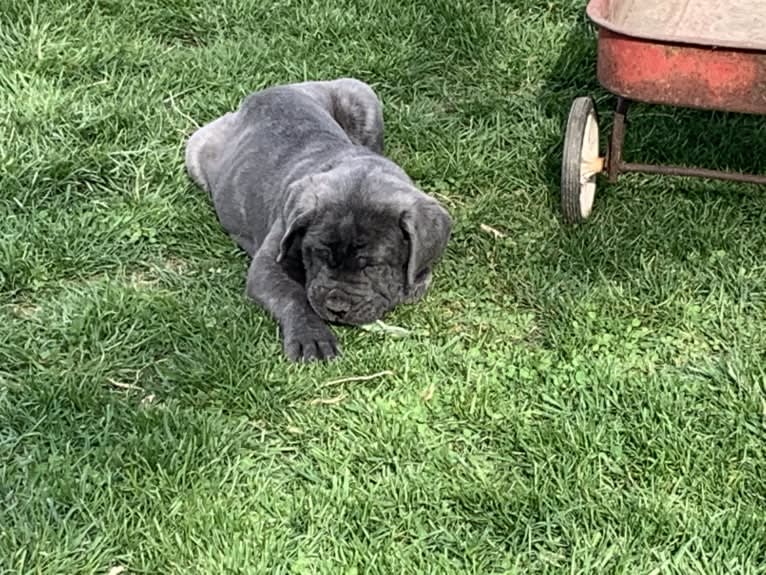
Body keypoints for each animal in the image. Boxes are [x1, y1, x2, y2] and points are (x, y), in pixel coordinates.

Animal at [185, 79, 452, 362]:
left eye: (372, 266)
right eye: (319, 254)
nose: (337, 307)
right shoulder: (269, 265)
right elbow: (293, 296)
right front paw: (310, 337)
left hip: (363, 97)